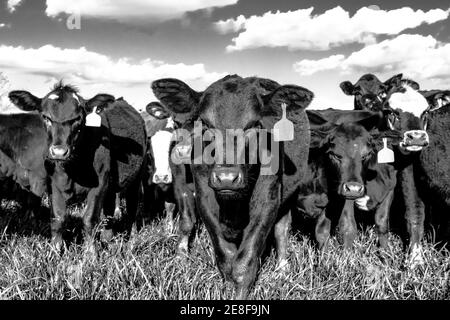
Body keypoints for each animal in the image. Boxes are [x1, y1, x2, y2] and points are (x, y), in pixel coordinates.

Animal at [8, 83, 146, 252]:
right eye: (46, 117)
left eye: (78, 118)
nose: (59, 152)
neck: (71, 170)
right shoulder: (53, 184)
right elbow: (58, 218)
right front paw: (55, 251)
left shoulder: (100, 184)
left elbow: (89, 219)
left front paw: (91, 253)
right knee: (109, 210)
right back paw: (107, 239)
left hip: (137, 177)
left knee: (132, 208)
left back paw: (132, 241)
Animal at [151, 75, 312, 300]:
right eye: (205, 123)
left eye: (254, 124)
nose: (226, 177)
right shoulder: (202, 196)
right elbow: (225, 259)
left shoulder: (268, 201)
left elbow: (245, 263)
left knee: (281, 230)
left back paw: (282, 270)